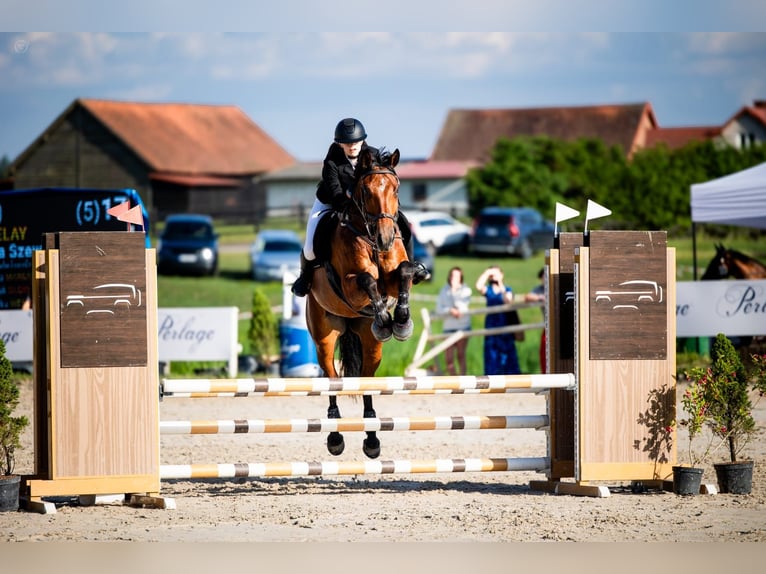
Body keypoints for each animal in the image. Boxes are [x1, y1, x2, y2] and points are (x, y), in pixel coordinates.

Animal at [304, 146, 416, 462]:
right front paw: (385, 320)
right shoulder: (350, 286)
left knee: (367, 381)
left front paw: (400, 321)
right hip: (324, 336)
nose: (385, 238)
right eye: (365, 191)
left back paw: (372, 439)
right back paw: (334, 437)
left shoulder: (394, 276)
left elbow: (404, 271)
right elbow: (367, 280)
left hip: (369, 345)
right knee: (331, 379)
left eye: (396, 188)